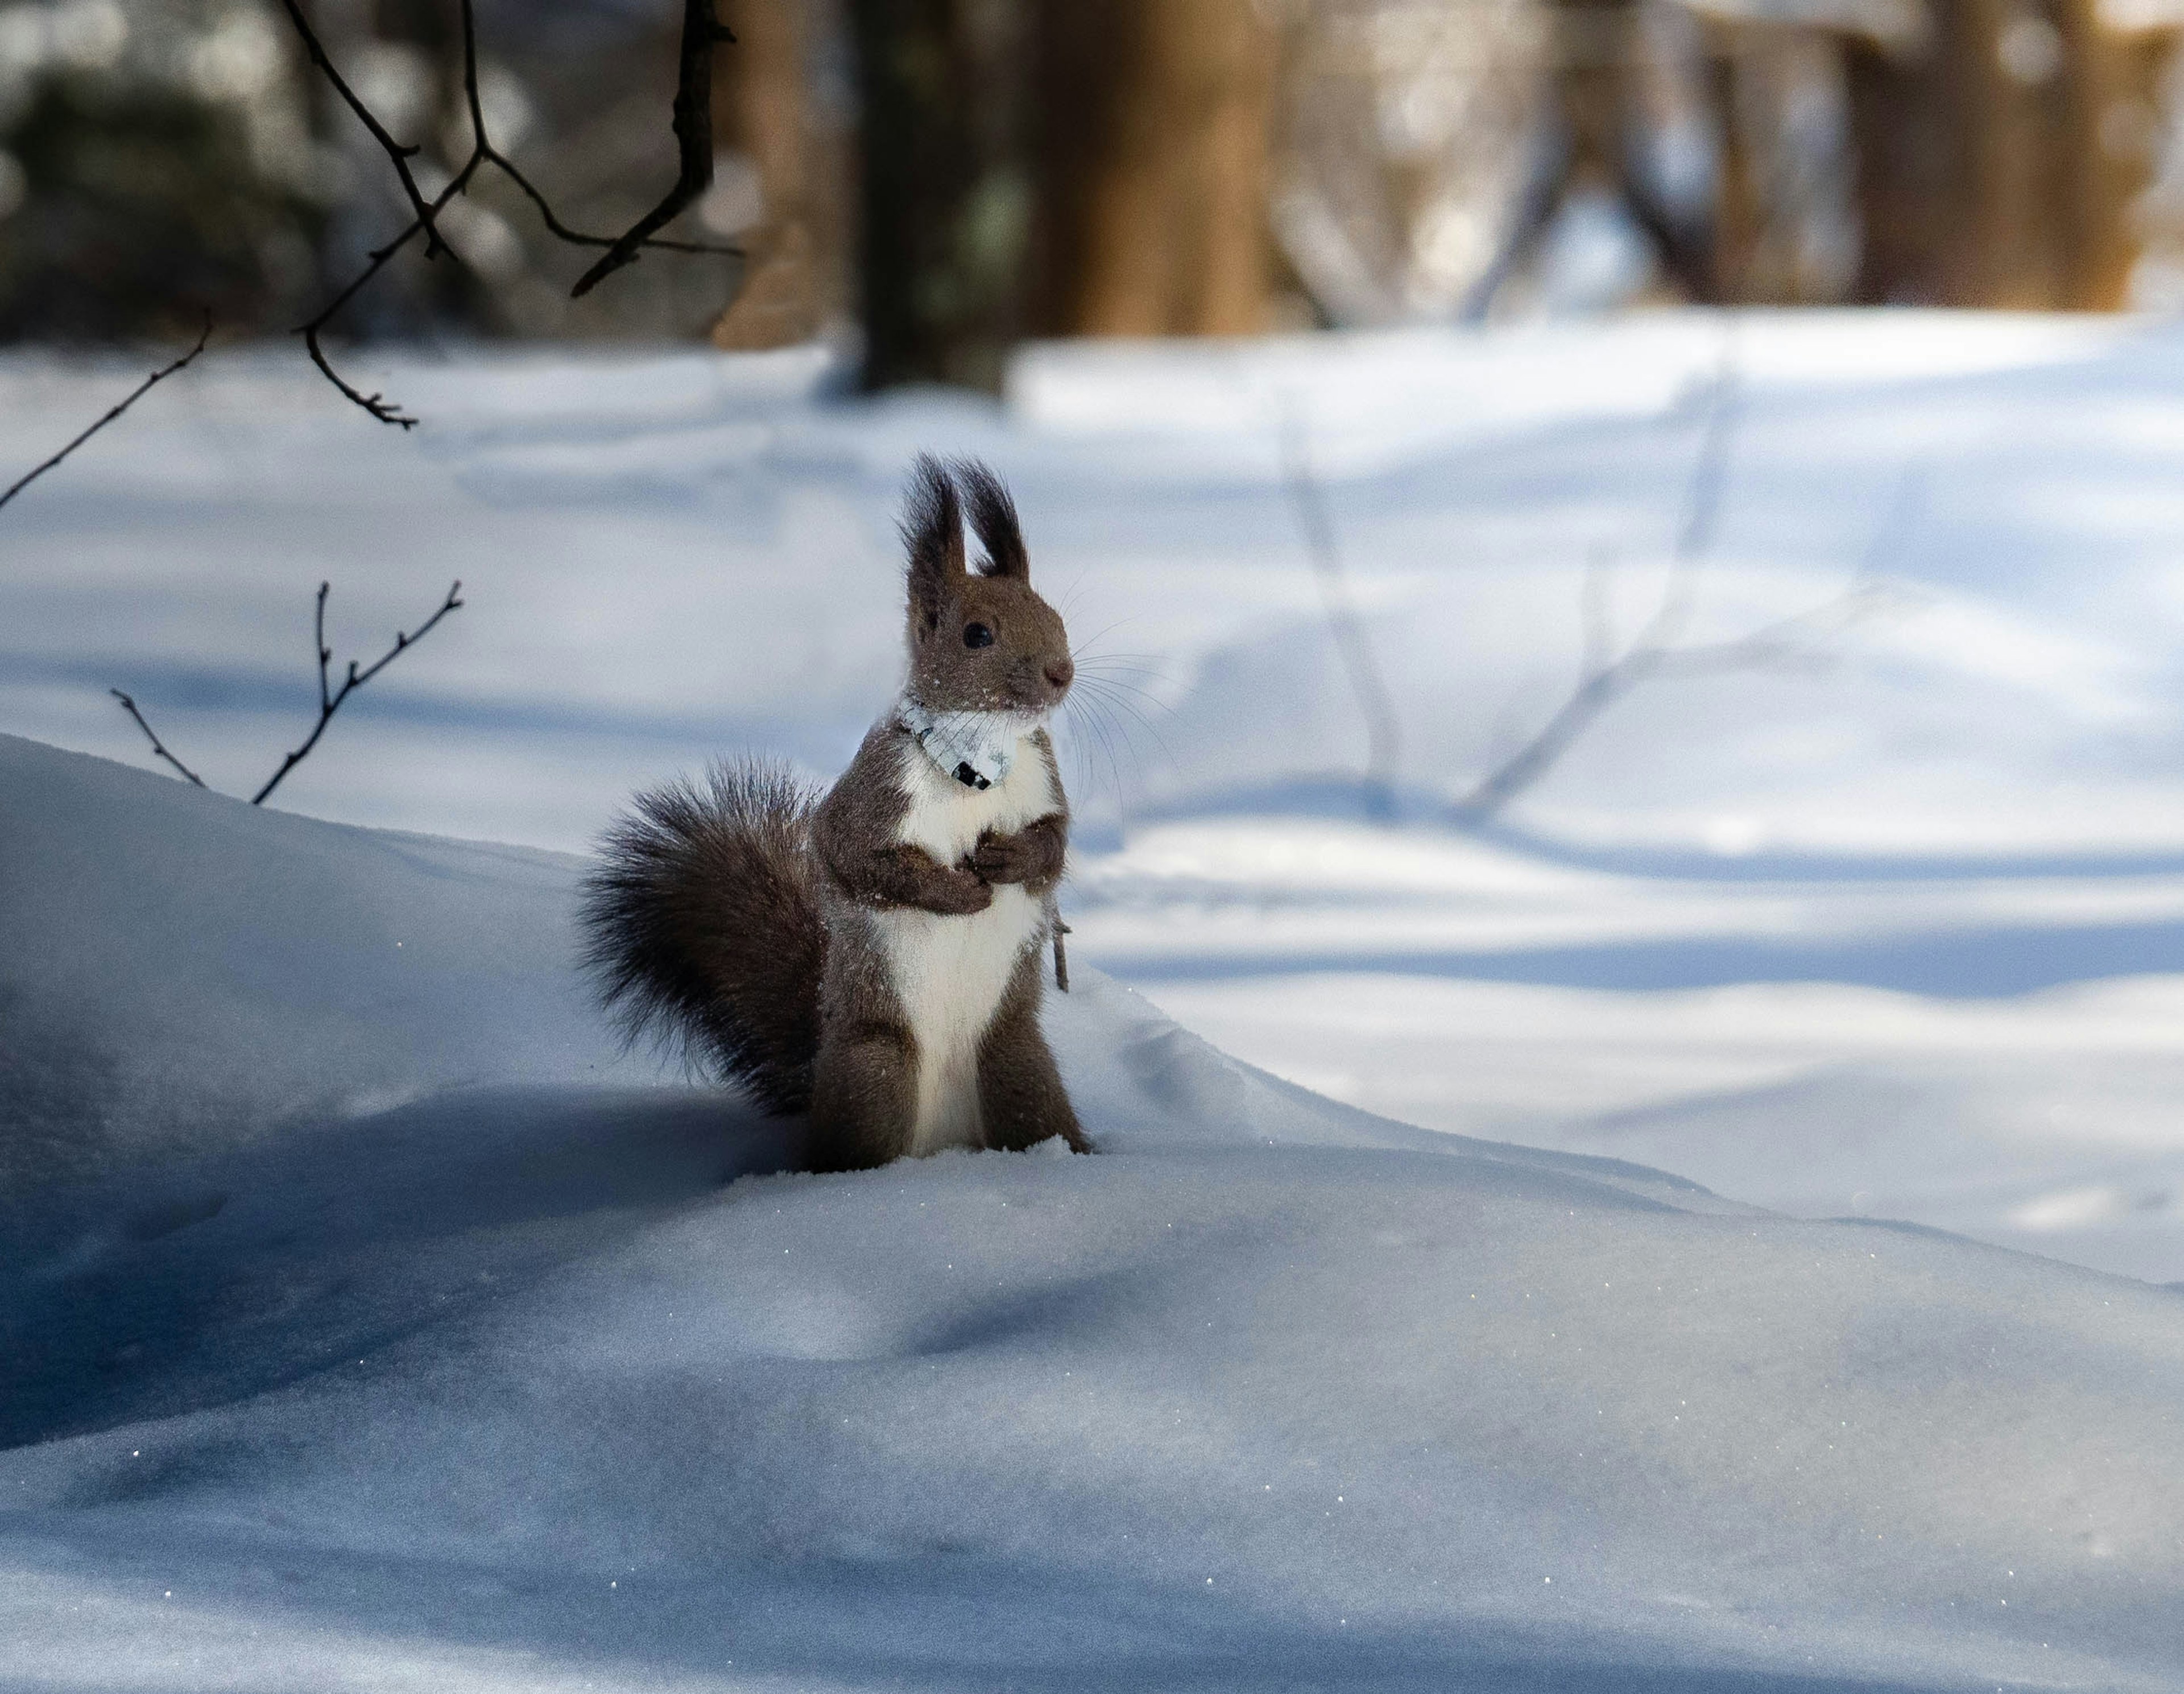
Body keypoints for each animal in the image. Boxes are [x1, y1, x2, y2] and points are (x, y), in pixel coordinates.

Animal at [581, 456, 1092, 1170]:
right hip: (878, 1069)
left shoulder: (1043, 782)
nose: (1060, 671)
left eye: (1053, 615)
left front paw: (1009, 857)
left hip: (1018, 1064)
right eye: (977, 634)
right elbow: (856, 858)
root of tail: (944, 1147)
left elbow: (1054, 845)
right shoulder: (872, 796)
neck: (979, 761)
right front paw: (958, 892)